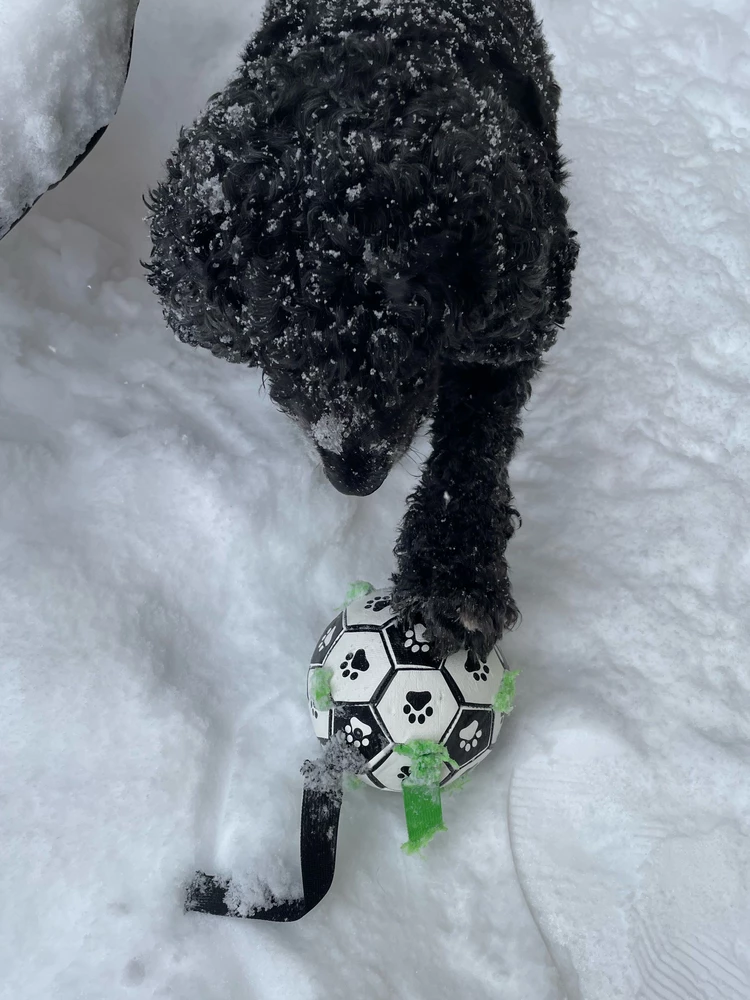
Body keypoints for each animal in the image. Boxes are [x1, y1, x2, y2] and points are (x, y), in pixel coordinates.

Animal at [147, 1, 580, 664]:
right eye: (277, 347)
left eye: (418, 350)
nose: (353, 477)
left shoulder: (519, 307)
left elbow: (477, 436)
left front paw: (455, 577)